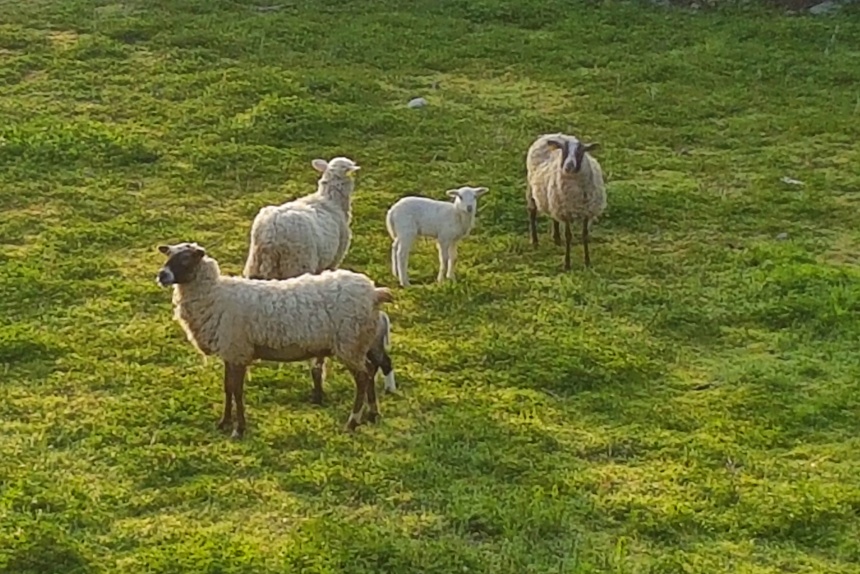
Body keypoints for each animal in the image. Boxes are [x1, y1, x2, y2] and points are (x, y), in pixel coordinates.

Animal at [155, 241, 394, 438]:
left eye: (186, 259)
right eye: (168, 255)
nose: (162, 275)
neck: (215, 295)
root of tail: (374, 292)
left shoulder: (238, 350)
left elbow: (238, 391)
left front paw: (239, 429)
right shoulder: (230, 351)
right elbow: (228, 388)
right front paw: (224, 423)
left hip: (349, 343)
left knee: (363, 378)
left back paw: (352, 422)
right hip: (362, 341)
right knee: (371, 370)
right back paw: (372, 414)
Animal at [524, 134, 604, 272]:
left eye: (580, 151)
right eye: (564, 150)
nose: (568, 166)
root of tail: (552, 134)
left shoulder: (587, 211)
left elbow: (585, 235)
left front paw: (587, 262)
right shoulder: (566, 211)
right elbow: (568, 236)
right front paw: (567, 264)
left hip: (553, 199)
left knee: (554, 217)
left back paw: (556, 238)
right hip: (532, 189)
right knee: (532, 212)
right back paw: (534, 241)